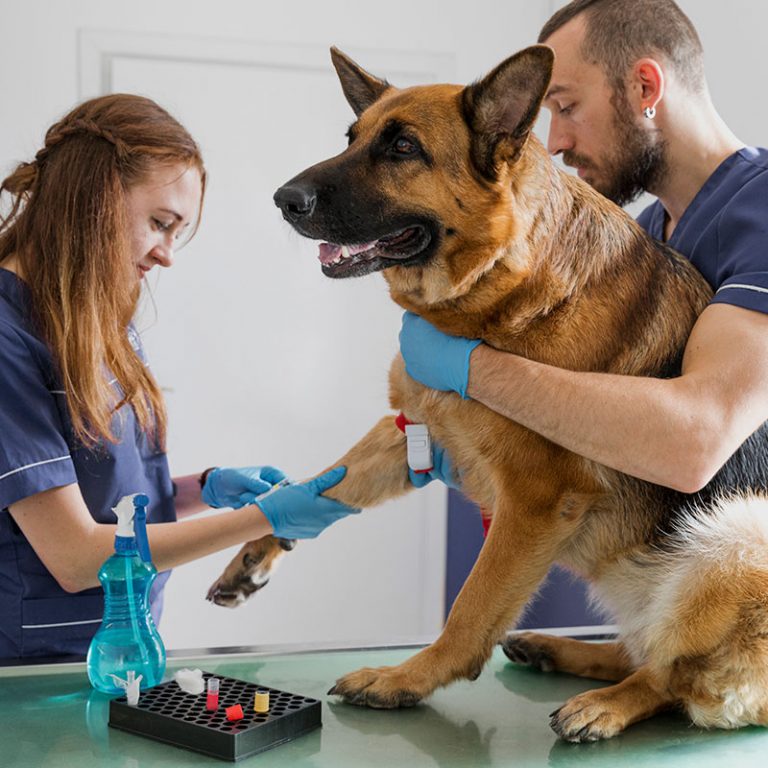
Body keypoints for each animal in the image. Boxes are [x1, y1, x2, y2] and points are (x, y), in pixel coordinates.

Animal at [206, 46, 768, 736]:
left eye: (403, 148)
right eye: (352, 138)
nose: (283, 199)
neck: (502, 288)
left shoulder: (533, 500)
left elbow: (470, 606)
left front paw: (406, 679)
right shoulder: (415, 430)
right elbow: (319, 481)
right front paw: (260, 537)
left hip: (733, 536)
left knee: (672, 676)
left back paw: (608, 701)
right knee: (647, 649)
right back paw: (560, 650)